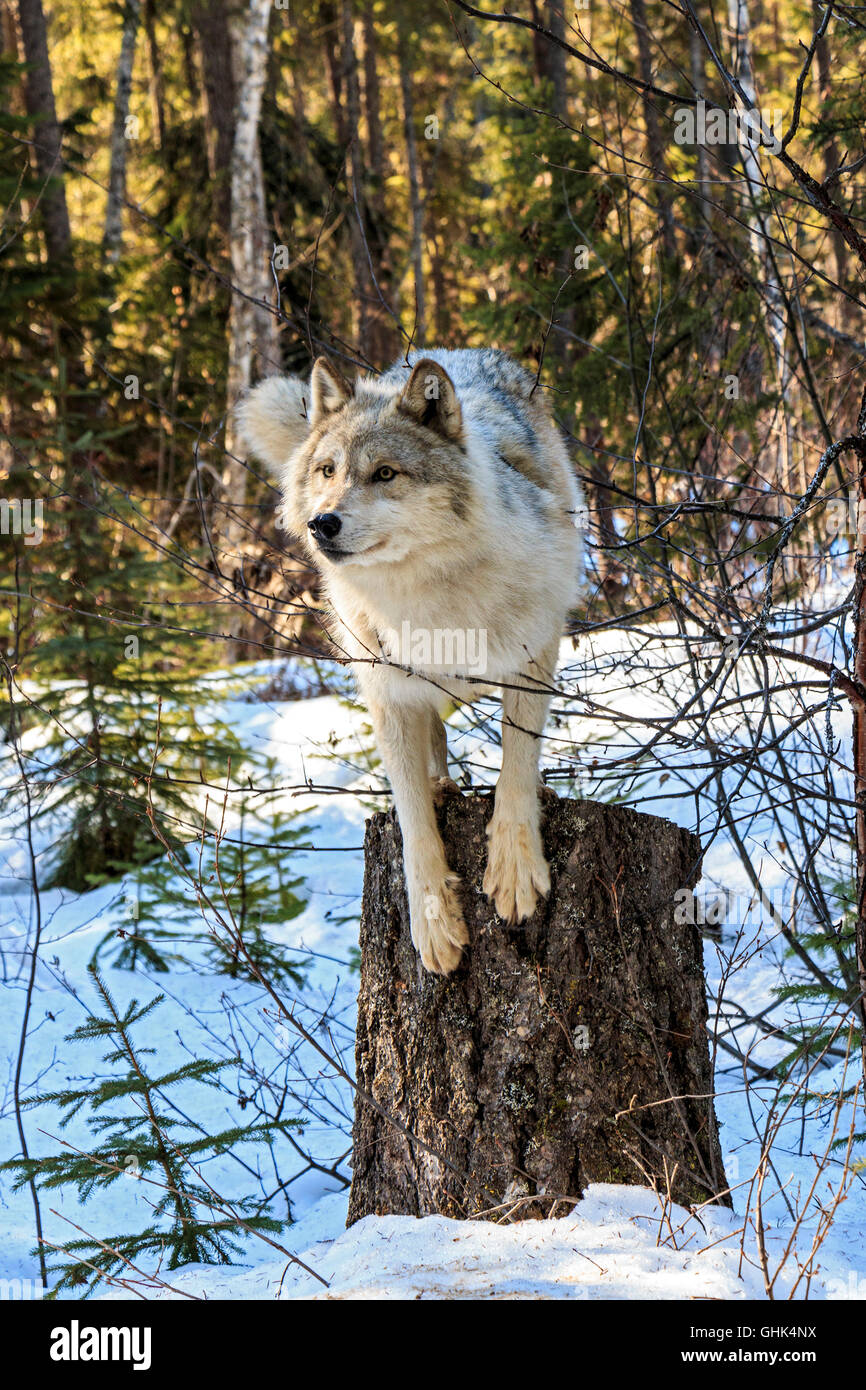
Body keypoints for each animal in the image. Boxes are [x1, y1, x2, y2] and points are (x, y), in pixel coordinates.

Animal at [240, 353, 586, 973]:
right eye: (327, 470)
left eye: (385, 474)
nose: (323, 523)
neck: (421, 593)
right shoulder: (389, 693)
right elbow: (411, 818)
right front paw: (434, 924)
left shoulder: (532, 653)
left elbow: (515, 767)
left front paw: (515, 871)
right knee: (434, 749)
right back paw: (443, 786)